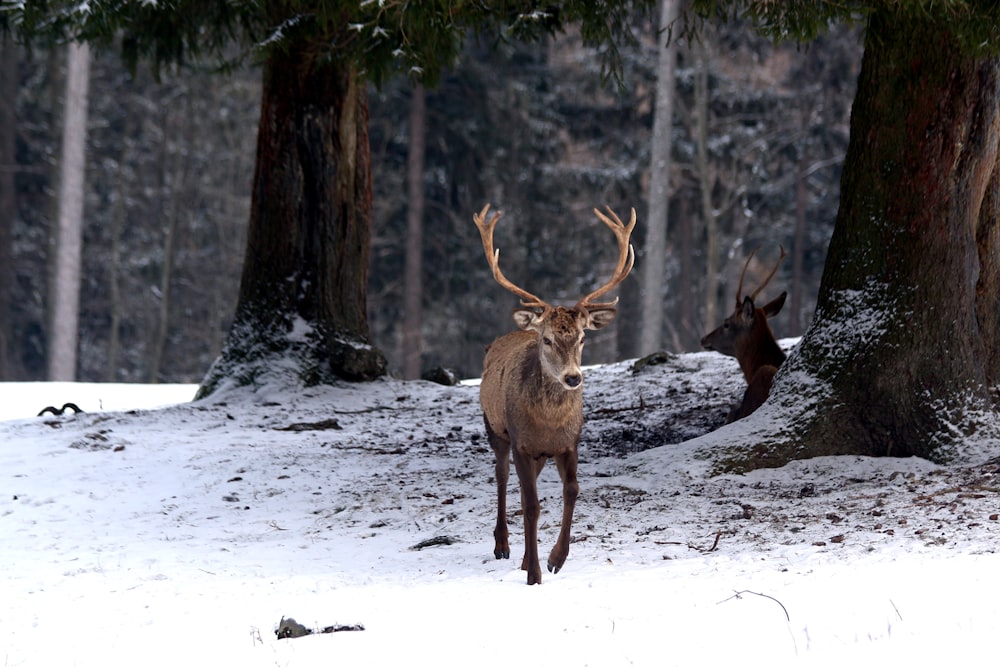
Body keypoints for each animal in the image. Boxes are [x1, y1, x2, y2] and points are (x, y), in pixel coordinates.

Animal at [474, 202, 632, 584]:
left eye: (582, 337)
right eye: (547, 340)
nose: (573, 378)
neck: (548, 424)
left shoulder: (568, 442)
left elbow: (571, 490)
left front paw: (555, 559)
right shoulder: (521, 442)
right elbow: (532, 505)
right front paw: (533, 572)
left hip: (538, 453)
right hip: (495, 428)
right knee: (502, 475)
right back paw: (502, 545)